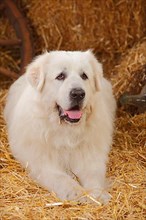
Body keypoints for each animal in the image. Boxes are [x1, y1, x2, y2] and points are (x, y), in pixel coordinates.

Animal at [4, 50, 116, 204]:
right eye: (60, 76)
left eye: (84, 76)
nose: (78, 93)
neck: (67, 131)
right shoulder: (43, 162)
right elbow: (62, 178)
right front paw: (77, 193)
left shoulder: (91, 156)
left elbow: (93, 175)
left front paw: (98, 195)